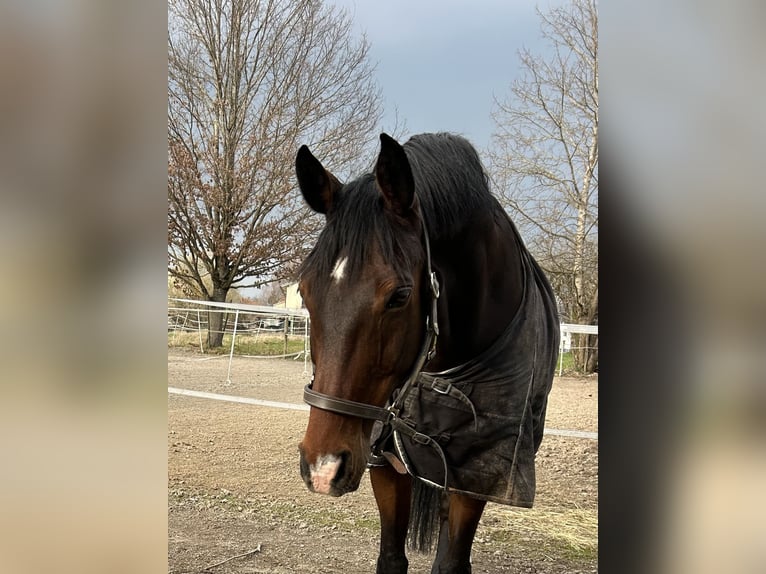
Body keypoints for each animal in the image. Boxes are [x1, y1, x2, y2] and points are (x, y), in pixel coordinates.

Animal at [295, 132, 559, 574]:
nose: (322, 468)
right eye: (304, 290)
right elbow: (391, 557)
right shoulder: (385, 463)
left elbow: (450, 562)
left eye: (400, 296)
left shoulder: (476, 478)